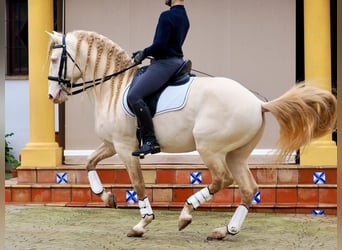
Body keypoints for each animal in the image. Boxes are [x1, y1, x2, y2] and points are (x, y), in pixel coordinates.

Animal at [46, 30, 338, 239]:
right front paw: (106, 197)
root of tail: (257, 103)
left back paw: (186, 214)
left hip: (210, 148)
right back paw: (225, 231)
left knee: (222, 180)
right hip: (236, 154)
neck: (114, 87)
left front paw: (142, 224)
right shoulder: (110, 143)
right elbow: (88, 163)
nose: (52, 96)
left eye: (54, 60)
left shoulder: (125, 147)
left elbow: (138, 185)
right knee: (248, 189)